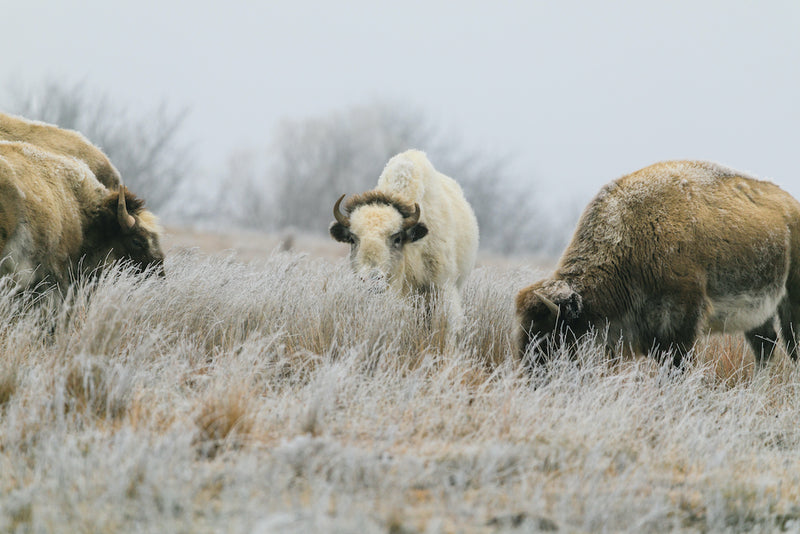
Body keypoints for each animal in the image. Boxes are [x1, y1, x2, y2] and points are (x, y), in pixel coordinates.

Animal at [516, 159, 800, 370]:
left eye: (552, 336)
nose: (532, 377)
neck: (632, 235)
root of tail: (792, 207)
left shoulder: (679, 321)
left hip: (789, 300)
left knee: (790, 344)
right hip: (758, 311)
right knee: (765, 346)